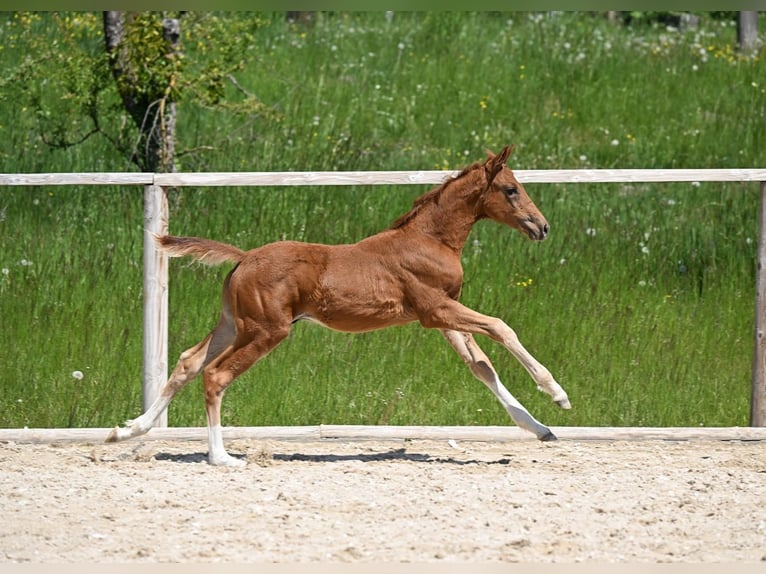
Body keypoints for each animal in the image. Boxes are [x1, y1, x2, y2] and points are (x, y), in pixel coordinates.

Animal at [106, 146, 570, 466]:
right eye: (511, 190)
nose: (544, 227)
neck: (430, 239)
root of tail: (244, 257)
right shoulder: (434, 310)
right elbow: (501, 326)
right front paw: (557, 394)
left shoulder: (442, 316)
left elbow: (482, 367)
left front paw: (540, 428)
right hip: (267, 330)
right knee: (216, 375)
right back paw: (220, 457)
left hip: (234, 324)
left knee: (188, 362)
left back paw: (129, 430)